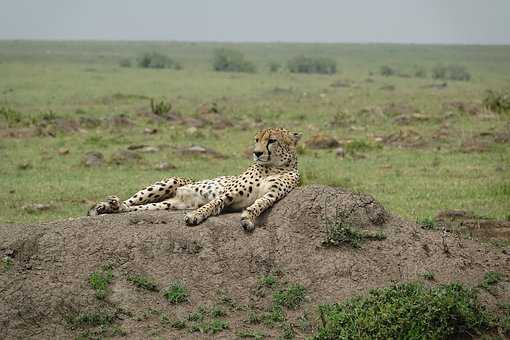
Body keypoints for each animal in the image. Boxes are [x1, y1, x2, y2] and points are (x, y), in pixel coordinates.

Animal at [88, 127, 300, 231]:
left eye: (271, 140)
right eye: (257, 140)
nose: (256, 153)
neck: (273, 166)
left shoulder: (271, 195)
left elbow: (258, 205)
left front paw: (248, 218)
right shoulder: (230, 192)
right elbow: (213, 203)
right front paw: (196, 216)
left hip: (167, 204)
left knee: (138, 208)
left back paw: (114, 207)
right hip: (169, 183)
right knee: (131, 201)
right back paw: (107, 205)